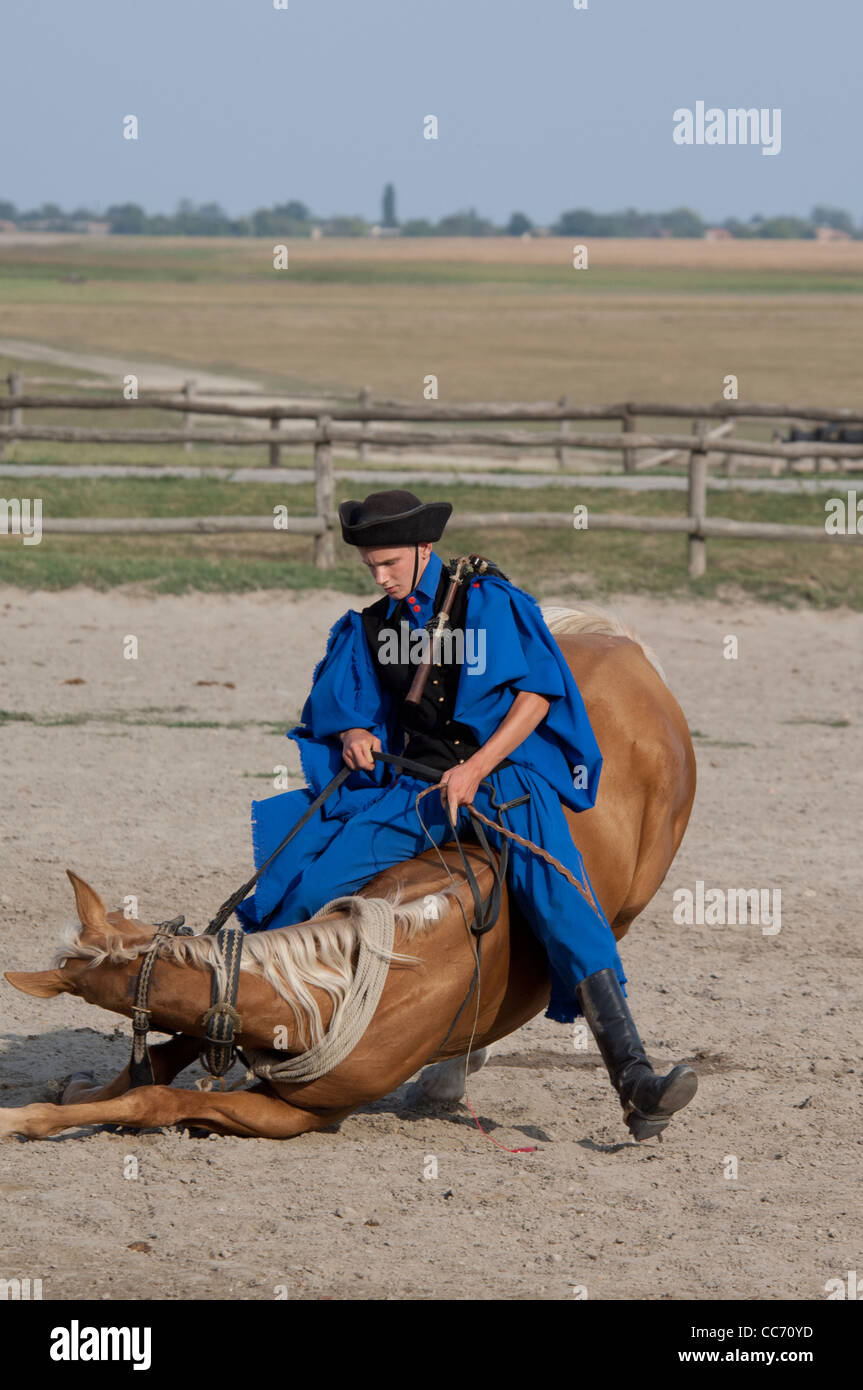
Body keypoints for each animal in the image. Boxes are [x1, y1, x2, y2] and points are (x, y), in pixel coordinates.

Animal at [1, 608, 692, 1139]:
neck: (348, 986)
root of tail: (624, 646)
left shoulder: (298, 1115)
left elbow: (159, 1097)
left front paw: (28, 1119)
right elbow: (170, 1057)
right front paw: (78, 1092)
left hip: (624, 905)